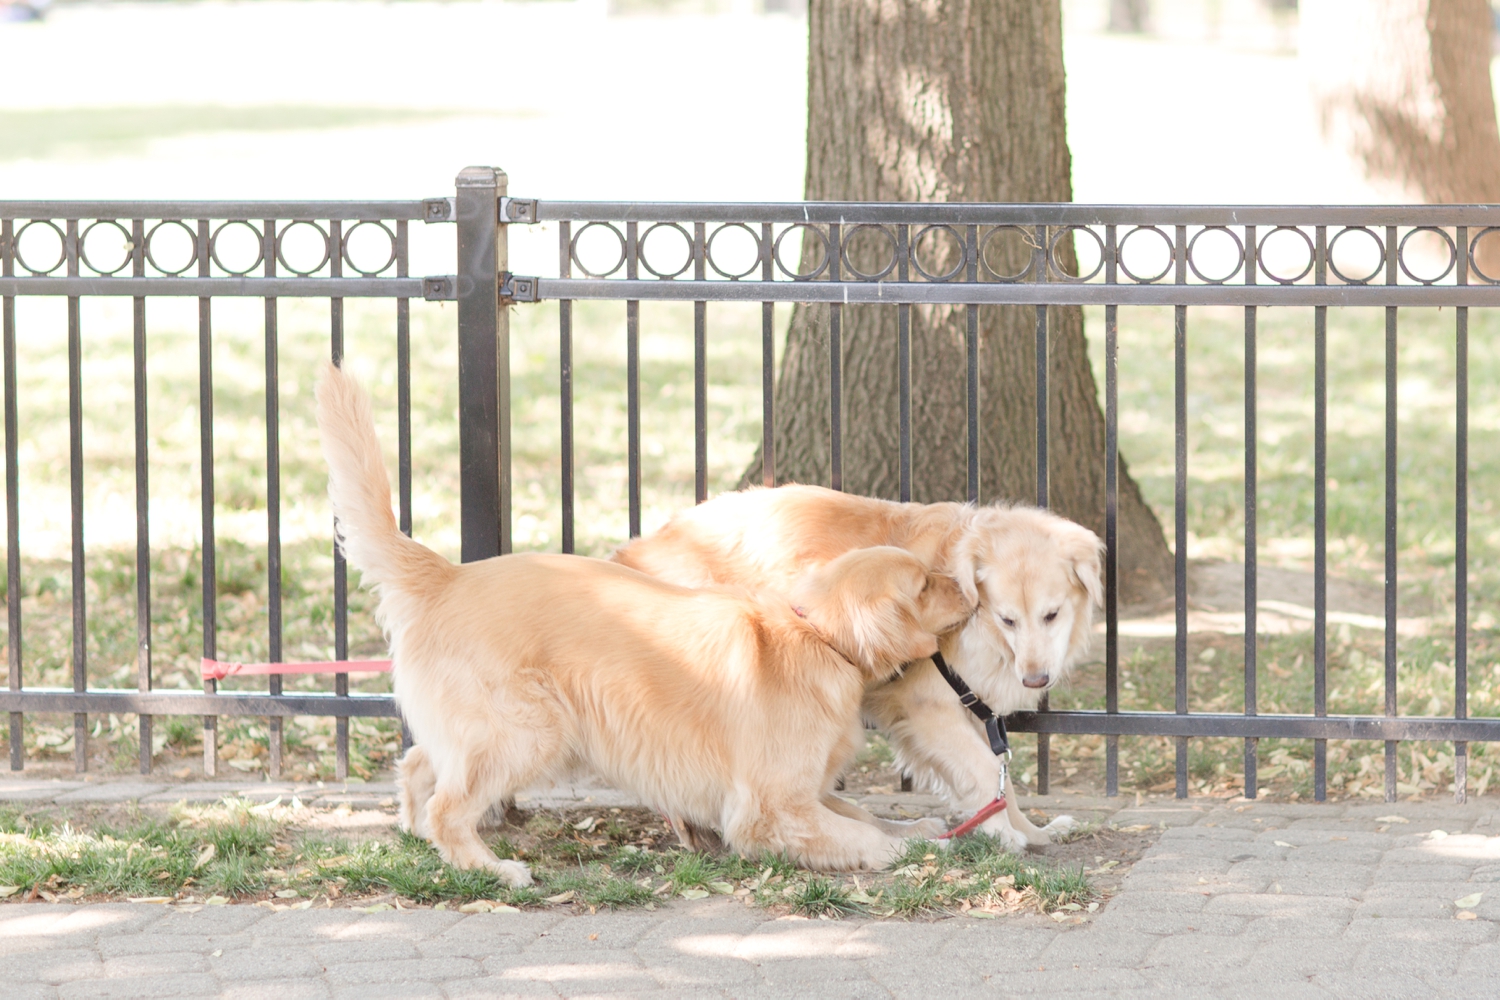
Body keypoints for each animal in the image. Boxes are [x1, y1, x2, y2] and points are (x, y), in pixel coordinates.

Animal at [316, 367, 972, 881]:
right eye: (924, 585)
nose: (968, 588)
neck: (820, 637)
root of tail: (446, 576)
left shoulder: (807, 792)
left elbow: (863, 813)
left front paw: (920, 830)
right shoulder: (769, 806)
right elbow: (857, 832)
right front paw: (900, 851)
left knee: (418, 769)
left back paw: (417, 834)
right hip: (527, 732)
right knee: (448, 809)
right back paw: (494, 869)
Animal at [612, 485, 1104, 851]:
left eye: (1052, 615)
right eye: (1007, 619)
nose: (1035, 678)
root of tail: (631, 553)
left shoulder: (973, 709)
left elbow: (1002, 780)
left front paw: (1032, 831)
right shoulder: (928, 706)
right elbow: (986, 772)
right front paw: (1006, 835)